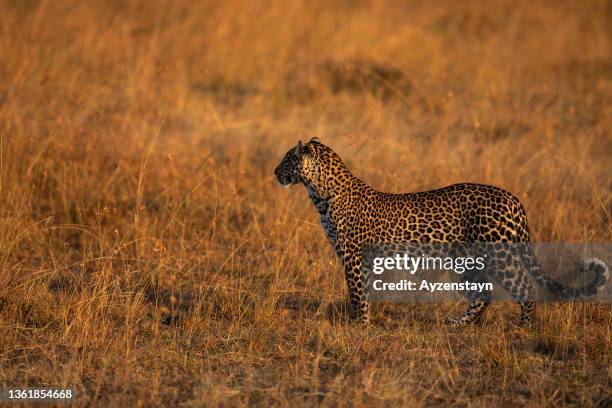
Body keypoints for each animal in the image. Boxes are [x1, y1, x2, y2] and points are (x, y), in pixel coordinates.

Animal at [274, 139, 608, 326]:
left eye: (287, 159)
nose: (275, 172)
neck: (321, 194)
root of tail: (512, 198)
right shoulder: (364, 259)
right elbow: (364, 291)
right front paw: (363, 322)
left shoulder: (353, 256)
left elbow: (356, 292)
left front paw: (357, 325)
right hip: (466, 259)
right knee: (483, 294)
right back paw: (460, 324)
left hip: (499, 254)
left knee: (524, 287)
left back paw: (522, 328)